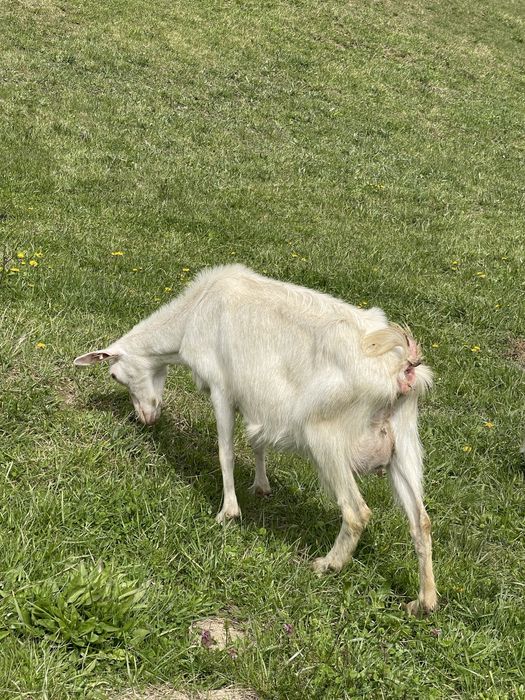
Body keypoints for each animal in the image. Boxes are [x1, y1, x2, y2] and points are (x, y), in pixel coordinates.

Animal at [74, 264, 437, 614]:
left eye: (114, 375)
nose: (144, 418)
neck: (193, 314)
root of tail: (402, 369)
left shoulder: (222, 388)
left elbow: (226, 452)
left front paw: (228, 513)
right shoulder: (254, 397)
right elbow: (256, 442)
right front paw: (261, 486)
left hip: (327, 437)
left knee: (357, 512)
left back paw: (328, 565)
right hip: (405, 441)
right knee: (421, 519)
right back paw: (423, 603)